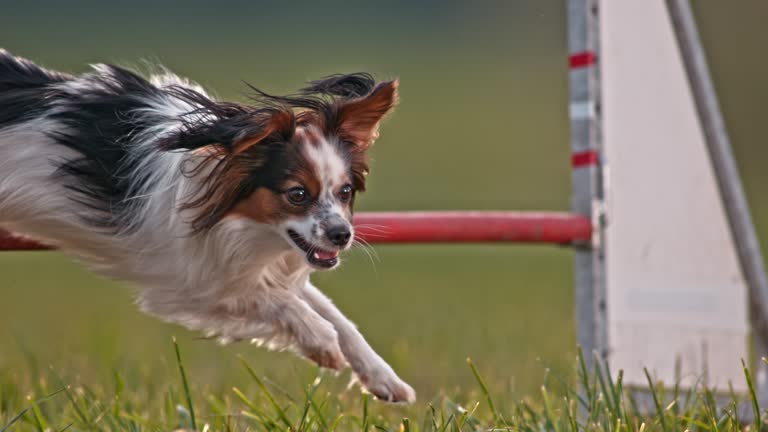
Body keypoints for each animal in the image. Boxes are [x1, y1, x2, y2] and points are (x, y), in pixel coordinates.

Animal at [0, 50, 414, 402]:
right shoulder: (193, 281)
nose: (342, 236)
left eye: (345, 192)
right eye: (297, 194)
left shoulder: (242, 267)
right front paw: (321, 342)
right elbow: (282, 303)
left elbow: (337, 317)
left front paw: (383, 378)